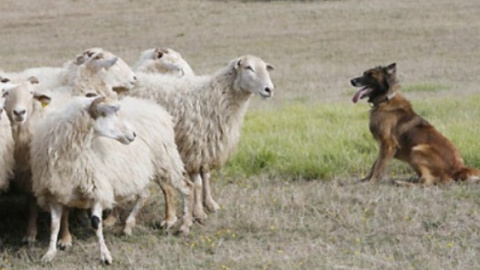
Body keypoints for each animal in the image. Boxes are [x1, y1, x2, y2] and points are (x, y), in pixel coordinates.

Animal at [30, 95, 193, 264]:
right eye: (104, 114)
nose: (133, 134)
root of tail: (157, 109)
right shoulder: (54, 193)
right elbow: (54, 225)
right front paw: (49, 254)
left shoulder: (97, 190)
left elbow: (96, 223)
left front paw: (105, 255)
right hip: (139, 172)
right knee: (145, 194)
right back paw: (128, 226)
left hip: (166, 161)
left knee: (187, 187)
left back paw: (184, 226)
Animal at [129, 54, 276, 219]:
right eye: (248, 67)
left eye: (265, 68)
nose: (269, 89)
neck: (215, 96)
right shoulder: (193, 147)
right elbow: (197, 183)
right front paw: (198, 212)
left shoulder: (208, 146)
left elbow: (206, 177)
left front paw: (210, 204)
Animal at [348, 63, 480, 186]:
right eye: (364, 73)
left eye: (371, 76)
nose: (352, 81)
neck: (385, 99)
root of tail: (460, 168)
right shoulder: (383, 146)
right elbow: (375, 165)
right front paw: (365, 180)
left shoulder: (388, 144)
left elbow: (379, 167)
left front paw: (371, 183)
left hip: (417, 150)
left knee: (427, 181)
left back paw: (403, 183)